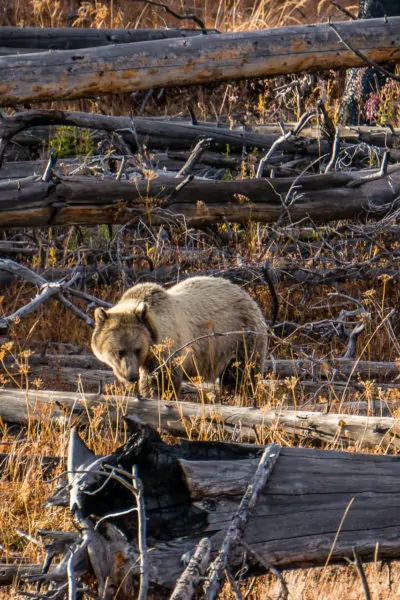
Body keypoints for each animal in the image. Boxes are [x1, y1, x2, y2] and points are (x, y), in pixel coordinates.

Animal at [91, 276, 268, 398]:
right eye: (119, 352)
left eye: (137, 349)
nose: (131, 376)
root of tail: (250, 298)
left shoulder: (168, 348)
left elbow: (161, 379)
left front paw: (157, 395)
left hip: (239, 337)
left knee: (241, 374)